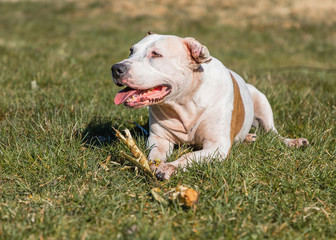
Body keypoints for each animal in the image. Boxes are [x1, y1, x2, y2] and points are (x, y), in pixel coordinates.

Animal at [111, 33, 308, 180]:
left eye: (156, 54)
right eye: (131, 51)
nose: (116, 68)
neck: (184, 103)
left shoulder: (217, 146)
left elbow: (188, 156)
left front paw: (171, 167)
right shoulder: (159, 138)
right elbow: (156, 154)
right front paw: (151, 165)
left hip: (261, 99)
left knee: (273, 133)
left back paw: (293, 142)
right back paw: (248, 137)